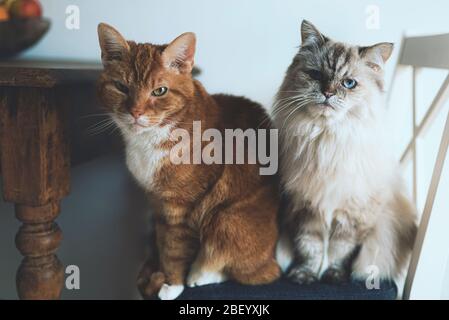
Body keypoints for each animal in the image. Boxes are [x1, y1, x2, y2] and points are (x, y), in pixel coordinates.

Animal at [97, 24, 280, 300]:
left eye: (159, 91)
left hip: (225, 221)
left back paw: (199, 274)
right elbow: (162, 243)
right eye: (121, 87)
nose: (136, 112)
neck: (148, 142)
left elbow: (174, 248)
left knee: (253, 272)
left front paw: (173, 284)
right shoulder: (157, 204)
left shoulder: (180, 208)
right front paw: (160, 274)